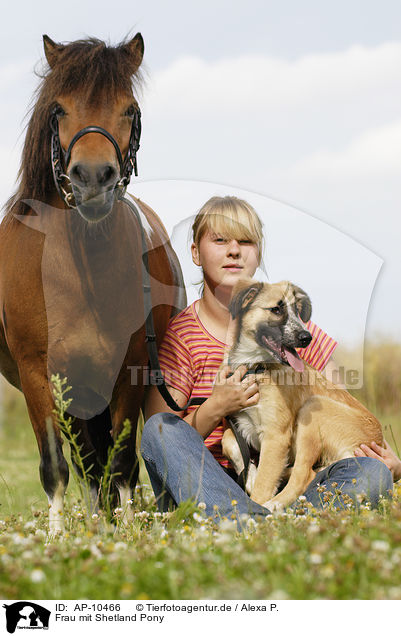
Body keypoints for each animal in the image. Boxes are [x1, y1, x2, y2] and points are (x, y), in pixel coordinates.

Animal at [0, 33, 184, 532]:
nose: (93, 179)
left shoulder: (130, 369)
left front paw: (126, 534)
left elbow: (120, 463)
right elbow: (57, 466)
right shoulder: (40, 375)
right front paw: (57, 538)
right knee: (84, 463)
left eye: (129, 109)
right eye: (59, 109)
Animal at [222, 280, 382, 510]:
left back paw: (271, 508)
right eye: (276, 309)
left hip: (313, 409)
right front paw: (250, 476)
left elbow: (263, 484)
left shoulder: (276, 435)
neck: (256, 367)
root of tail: (377, 438)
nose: (307, 338)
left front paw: (255, 506)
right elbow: (228, 441)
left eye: (297, 312)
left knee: (304, 475)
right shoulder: (239, 421)